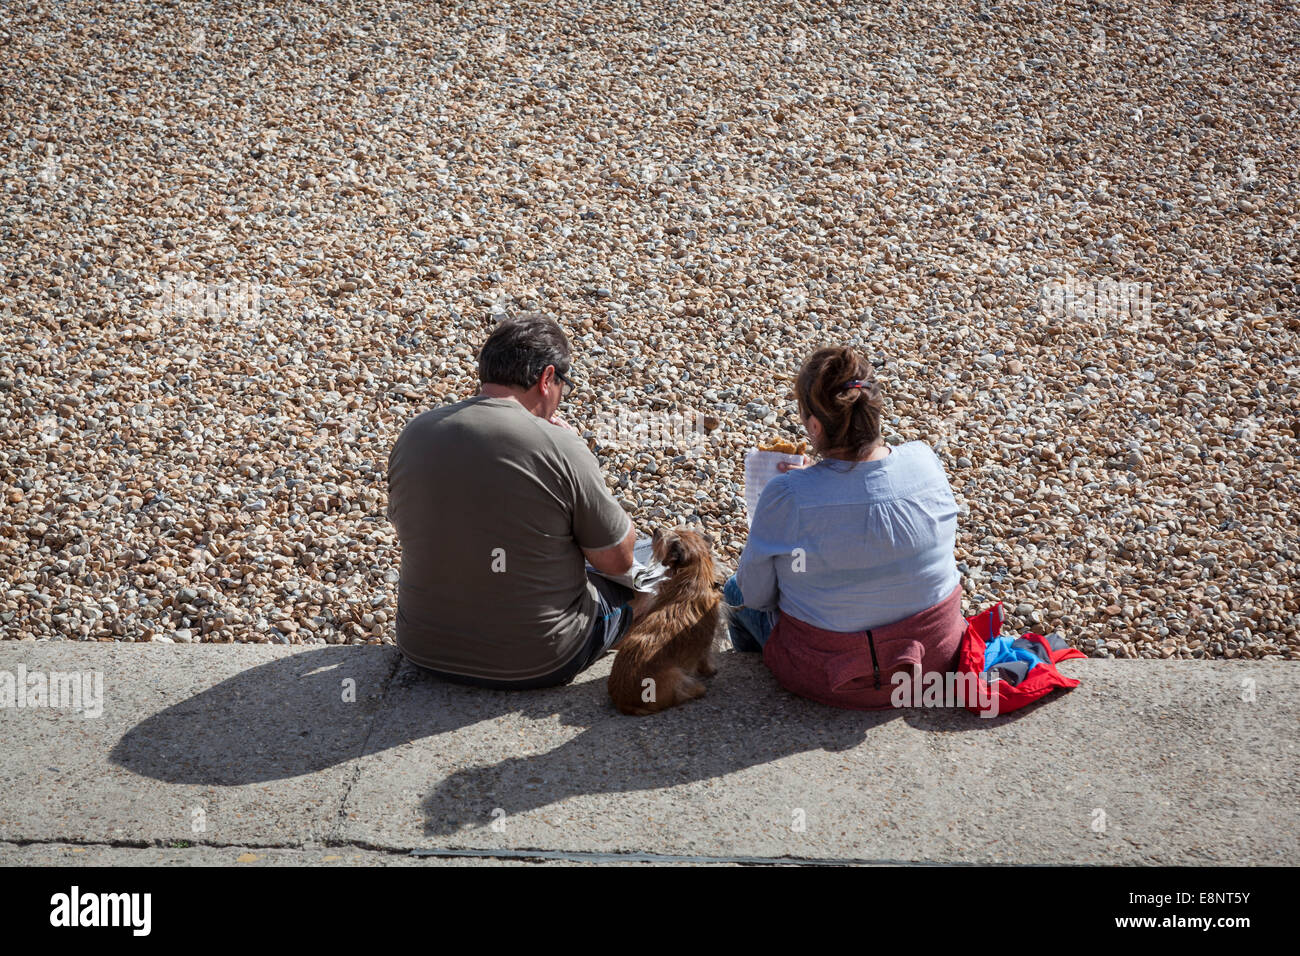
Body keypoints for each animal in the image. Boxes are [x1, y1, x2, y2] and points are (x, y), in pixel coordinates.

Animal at [605, 528, 728, 712]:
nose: (656, 529)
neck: (694, 576)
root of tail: (623, 701)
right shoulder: (706, 641)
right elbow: (704, 658)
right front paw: (710, 671)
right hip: (678, 678)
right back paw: (698, 689)